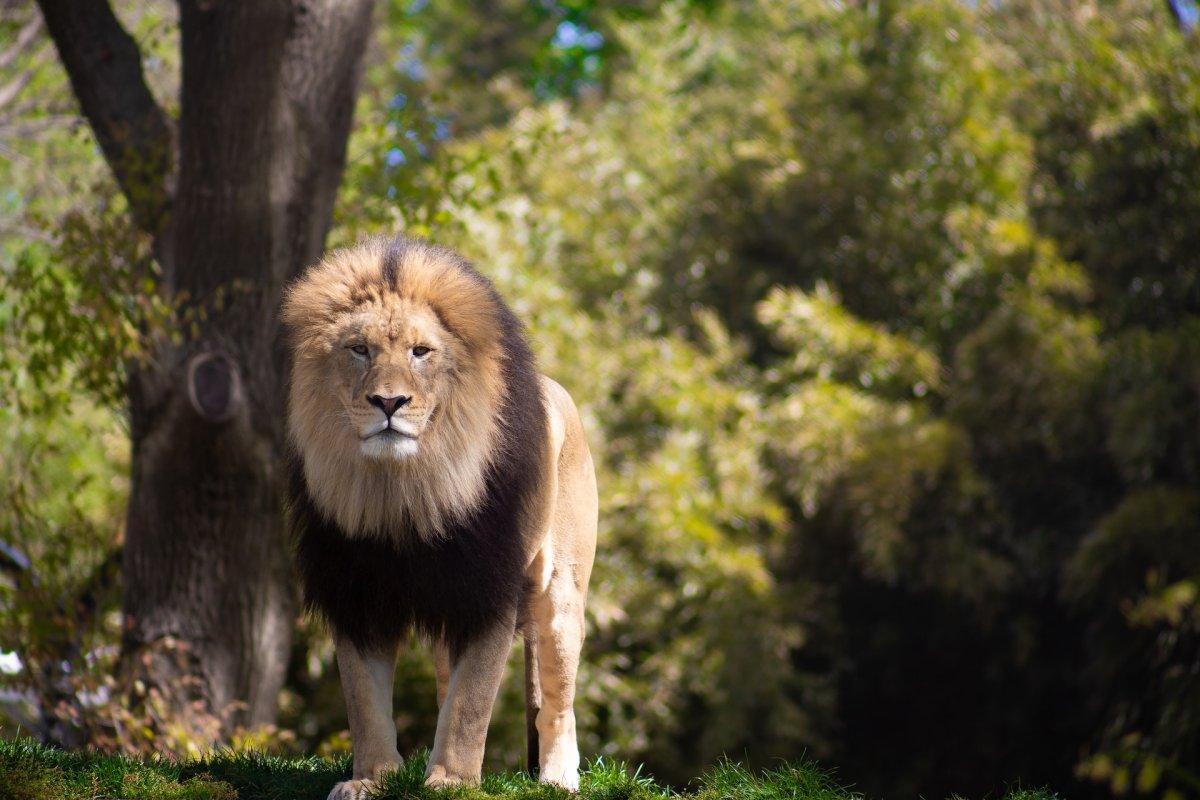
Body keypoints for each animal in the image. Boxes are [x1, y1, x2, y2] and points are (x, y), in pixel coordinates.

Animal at [282, 237, 600, 800]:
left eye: (420, 352)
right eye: (359, 349)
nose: (388, 401)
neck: (405, 490)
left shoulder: (488, 588)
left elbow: (471, 703)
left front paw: (451, 781)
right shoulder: (356, 590)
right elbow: (365, 702)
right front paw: (371, 778)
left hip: (560, 595)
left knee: (557, 704)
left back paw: (558, 777)